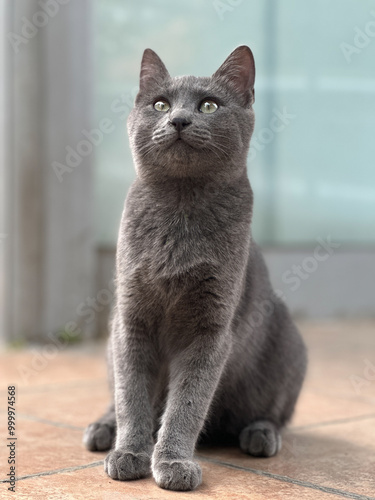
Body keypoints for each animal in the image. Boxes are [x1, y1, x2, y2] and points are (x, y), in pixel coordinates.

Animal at [85, 47, 308, 492]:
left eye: (209, 105)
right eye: (160, 105)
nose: (179, 120)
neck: (180, 208)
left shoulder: (211, 329)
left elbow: (187, 402)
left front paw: (172, 462)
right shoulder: (130, 319)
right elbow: (132, 394)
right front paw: (130, 452)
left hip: (289, 345)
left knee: (276, 412)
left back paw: (260, 434)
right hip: (111, 339)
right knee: (117, 392)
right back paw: (103, 427)